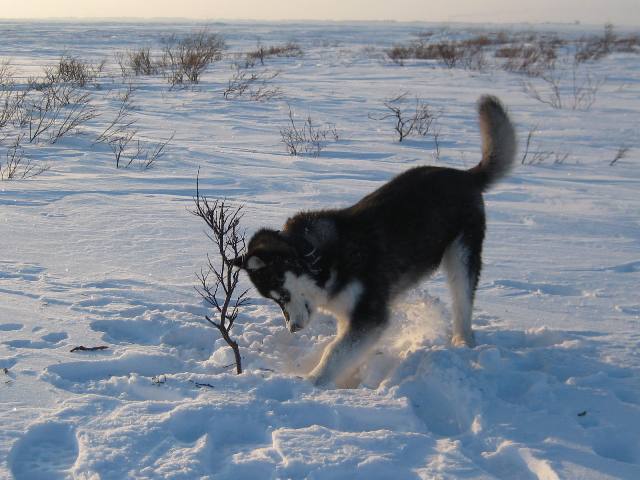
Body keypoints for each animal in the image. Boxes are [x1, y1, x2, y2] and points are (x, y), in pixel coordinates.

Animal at [232, 95, 516, 386]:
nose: (293, 329)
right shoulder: (349, 315)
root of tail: (465, 175)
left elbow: (335, 351)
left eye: (283, 295)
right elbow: (343, 348)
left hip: (461, 255)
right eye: (275, 300)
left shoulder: (370, 314)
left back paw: (463, 341)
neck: (319, 259)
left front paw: (312, 381)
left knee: (462, 301)